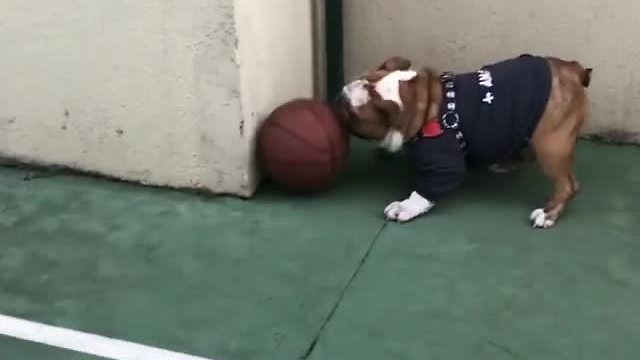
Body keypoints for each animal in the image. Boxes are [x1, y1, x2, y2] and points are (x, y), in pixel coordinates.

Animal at [332, 53, 592, 228]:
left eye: (350, 114)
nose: (335, 101)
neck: (420, 103)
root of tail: (572, 70)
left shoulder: (445, 166)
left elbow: (425, 192)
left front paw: (405, 207)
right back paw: (506, 163)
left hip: (552, 143)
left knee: (567, 185)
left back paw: (548, 214)